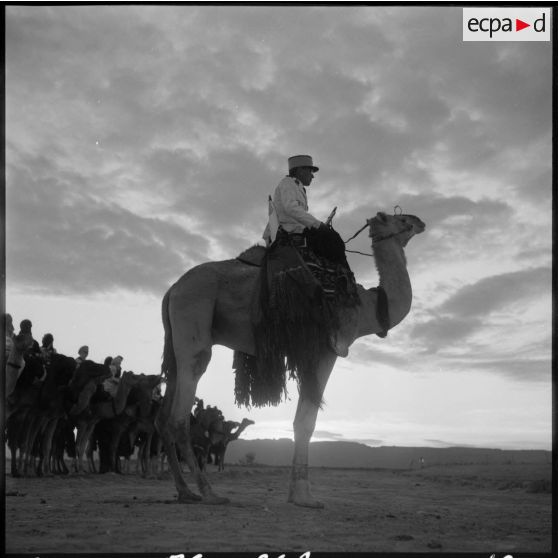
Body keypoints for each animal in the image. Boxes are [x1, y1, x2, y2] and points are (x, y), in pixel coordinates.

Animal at [155, 212, 426, 510]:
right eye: (400, 219)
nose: (419, 221)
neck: (365, 304)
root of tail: (172, 289)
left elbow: (299, 420)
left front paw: (295, 494)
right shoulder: (328, 349)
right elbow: (306, 423)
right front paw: (305, 496)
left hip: (175, 342)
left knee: (165, 414)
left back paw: (185, 491)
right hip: (194, 316)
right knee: (182, 411)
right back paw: (209, 493)